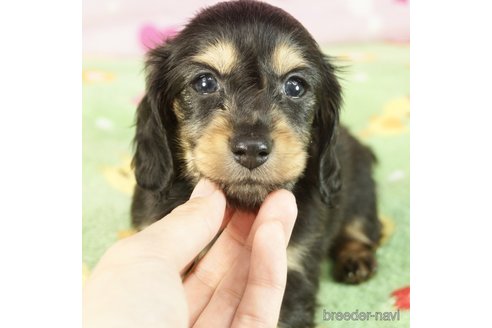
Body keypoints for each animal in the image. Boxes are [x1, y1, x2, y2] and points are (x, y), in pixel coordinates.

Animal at [130, 1, 380, 326]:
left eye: (295, 86)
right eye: (205, 82)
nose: (251, 149)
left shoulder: (292, 269)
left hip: (362, 193)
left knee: (361, 229)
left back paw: (355, 259)